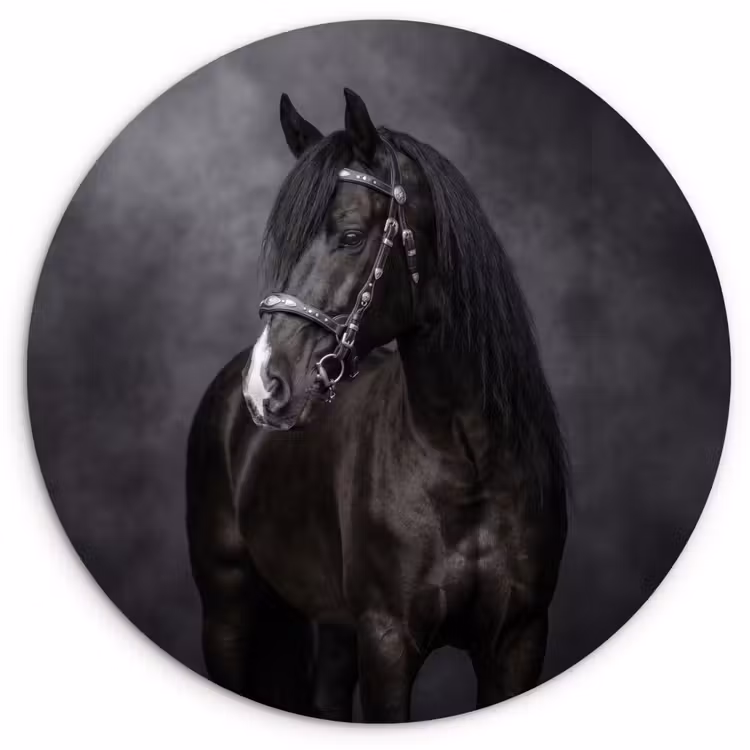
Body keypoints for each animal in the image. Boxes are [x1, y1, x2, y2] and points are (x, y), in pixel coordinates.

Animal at [186, 88, 568, 723]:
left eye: (348, 235)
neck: (468, 460)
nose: (265, 384)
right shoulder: (388, 640)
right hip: (227, 614)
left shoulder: (518, 638)